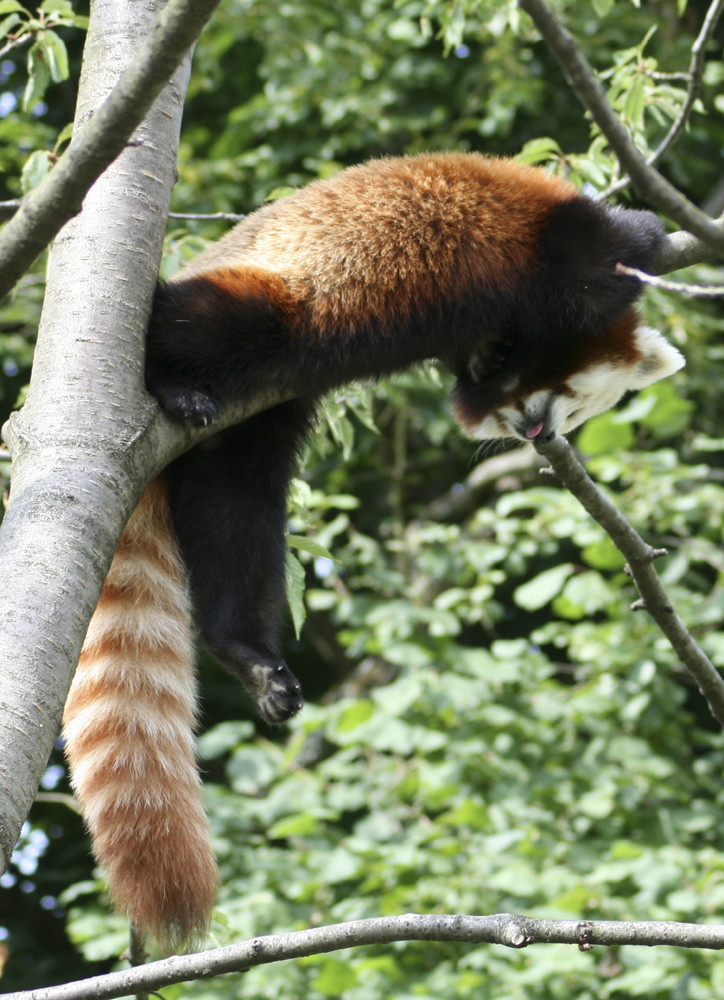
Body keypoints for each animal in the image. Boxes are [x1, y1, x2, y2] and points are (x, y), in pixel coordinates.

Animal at [62, 152, 684, 948]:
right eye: (575, 402)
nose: (540, 435)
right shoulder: (544, 243)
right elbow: (610, 261)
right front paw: (650, 233)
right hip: (272, 299)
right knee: (203, 322)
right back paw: (170, 383)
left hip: (253, 428)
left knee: (240, 515)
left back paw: (249, 655)